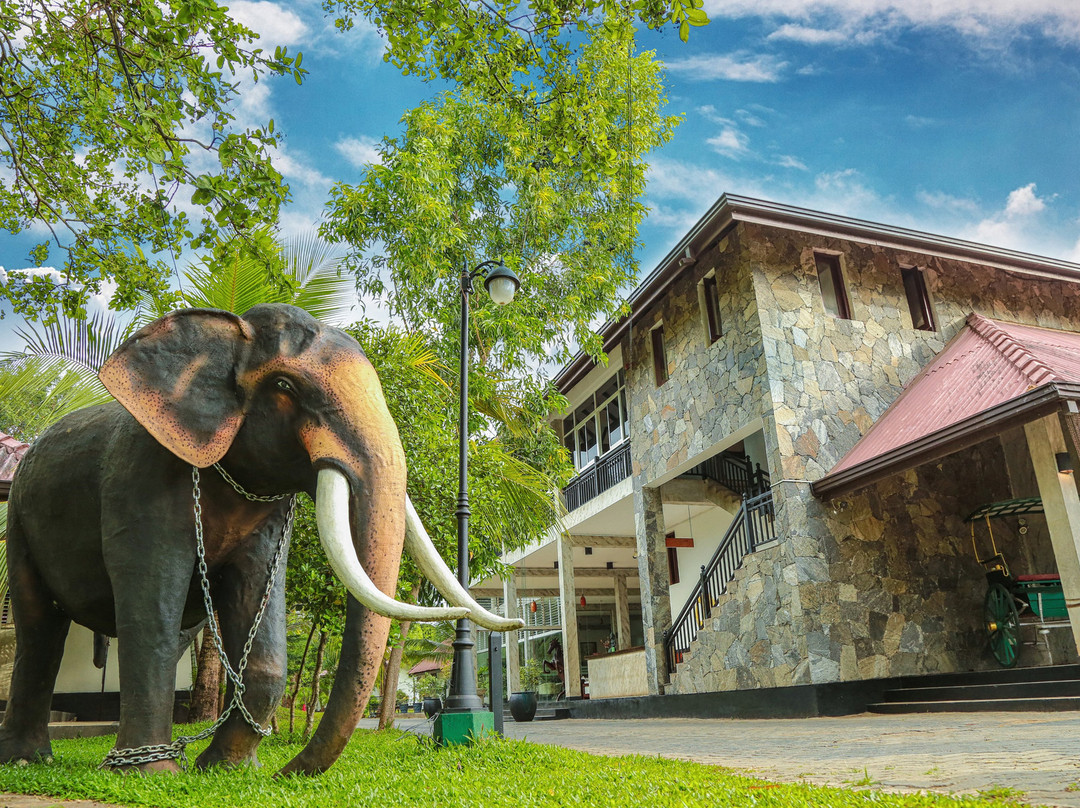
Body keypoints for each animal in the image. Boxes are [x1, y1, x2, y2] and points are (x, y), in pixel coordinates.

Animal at [0, 303, 520, 775]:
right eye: (285, 386)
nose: (284, 772)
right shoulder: (142, 477)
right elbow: (150, 609)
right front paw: (151, 775)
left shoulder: (267, 516)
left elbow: (259, 616)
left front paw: (228, 769)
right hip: (20, 518)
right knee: (40, 631)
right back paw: (29, 761)